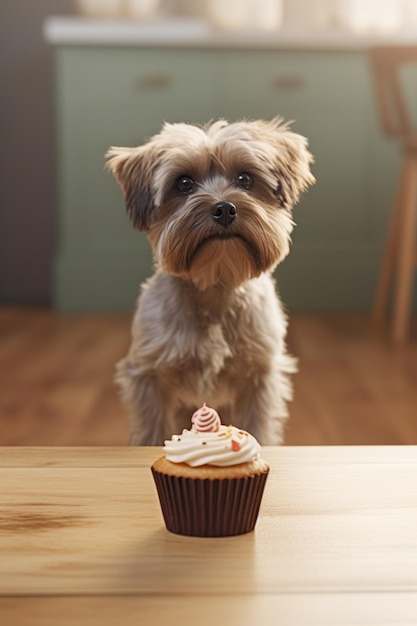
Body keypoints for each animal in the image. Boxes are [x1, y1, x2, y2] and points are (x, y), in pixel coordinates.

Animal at [105, 118, 314, 444]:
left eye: (245, 179)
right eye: (184, 183)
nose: (224, 207)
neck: (216, 284)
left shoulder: (260, 379)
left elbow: (257, 426)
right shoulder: (148, 377)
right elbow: (152, 430)